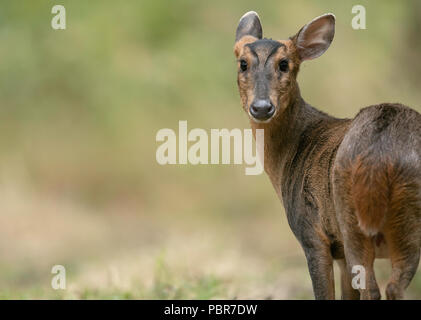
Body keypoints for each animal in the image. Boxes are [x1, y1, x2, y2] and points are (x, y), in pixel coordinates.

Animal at [235, 10, 420, 300]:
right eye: (243, 63)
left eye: (284, 64)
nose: (262, 107)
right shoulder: (339, 252)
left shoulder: (313, 234)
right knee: (394, 286)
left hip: (351, 221)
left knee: (376, 289)